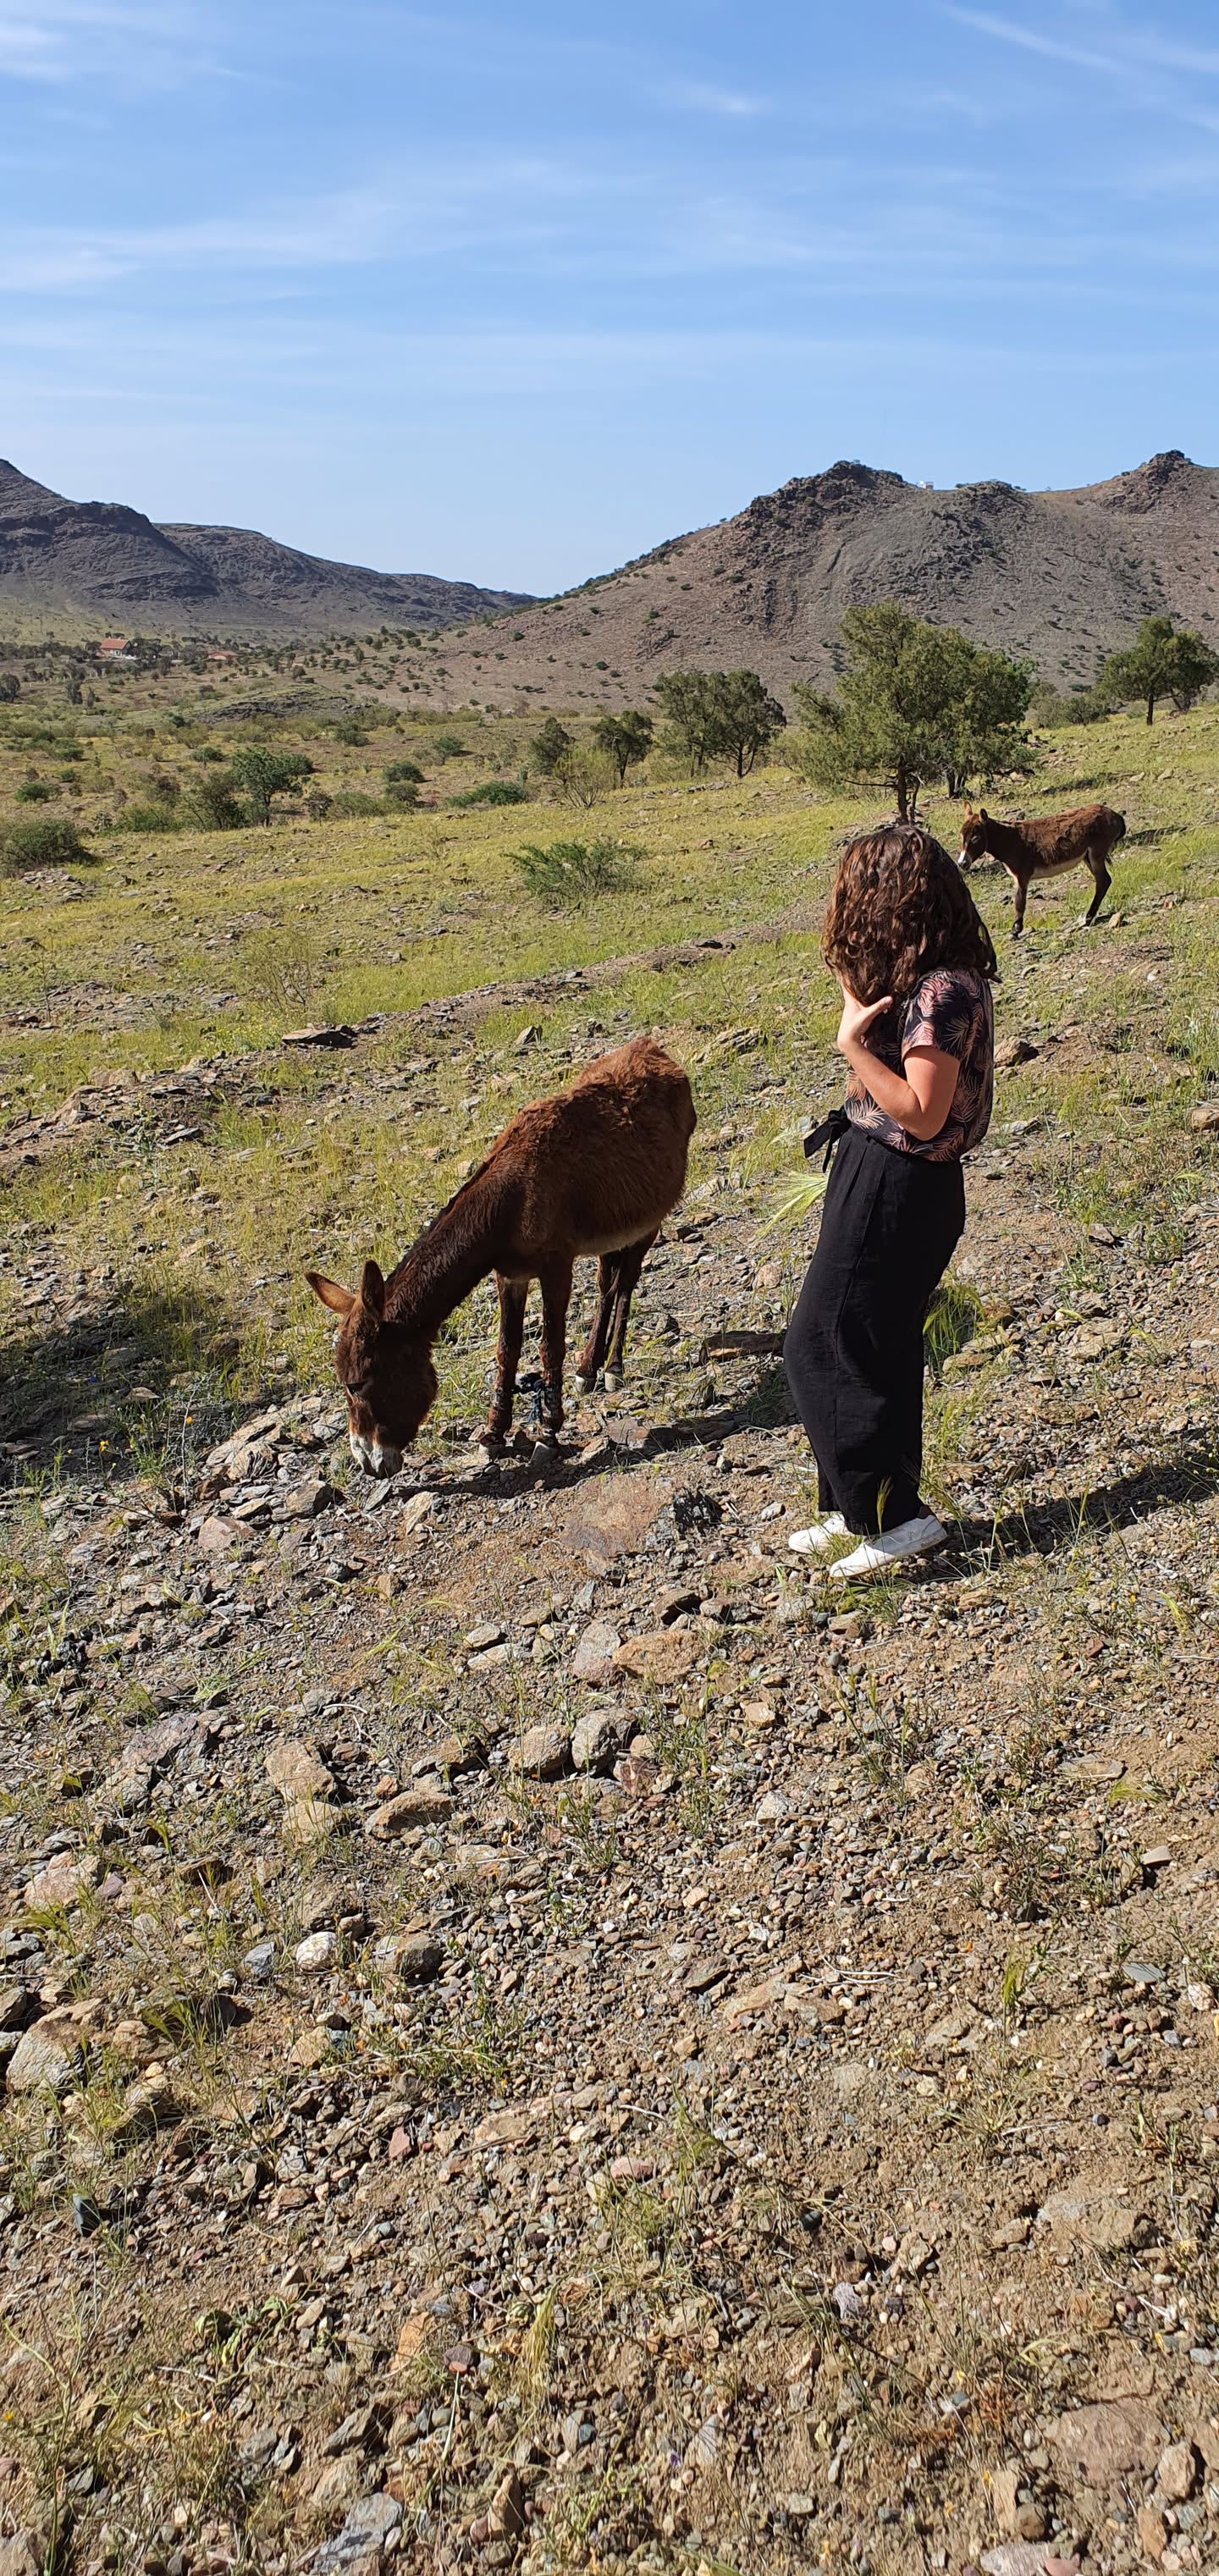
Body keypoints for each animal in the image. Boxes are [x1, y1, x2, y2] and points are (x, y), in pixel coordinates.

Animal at [306, 1035, 696, 1475]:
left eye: (356, 1384)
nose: (368, 1464)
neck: (512, 1195)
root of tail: (651, 1047)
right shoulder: (509, 1274)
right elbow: (506, 1351)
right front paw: (494, 1433)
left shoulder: (556, 1265)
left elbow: (549, 1346)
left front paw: (548, 1432)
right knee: (606, 1286)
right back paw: (588, 1370)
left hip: (651, 1218)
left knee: (626, 1283)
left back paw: (613, 1368)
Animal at [959, 802, 1125, 935]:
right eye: (961, 836)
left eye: (975, 838)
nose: (961, 863)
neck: (1009, 840)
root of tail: (1115, 815)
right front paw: (1016, 929)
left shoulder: (1022, 875)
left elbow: (1019, 902)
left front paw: (1016, 930)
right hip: (1087, 857)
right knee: (1104, 881)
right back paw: (1089, 917)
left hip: (1097, 852)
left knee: (1103, 881)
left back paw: (1088, 918)